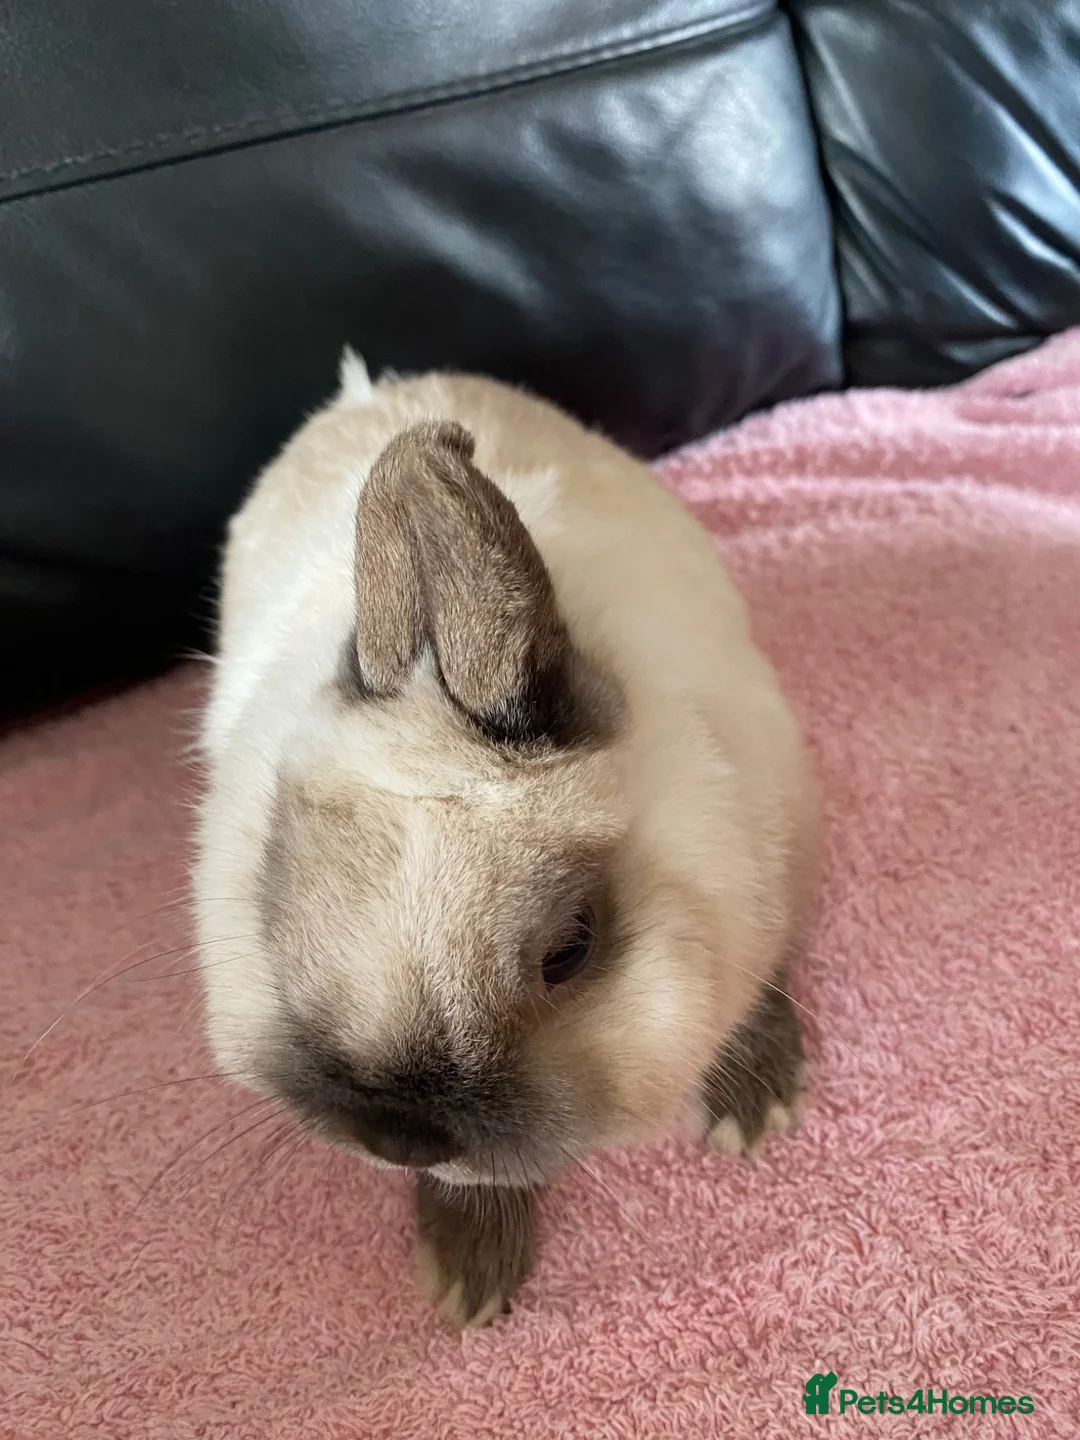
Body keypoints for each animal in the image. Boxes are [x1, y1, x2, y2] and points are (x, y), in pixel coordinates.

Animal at [193, 349, 818, 1326]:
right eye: (270, 900)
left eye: (570, 949)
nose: (402, 1136)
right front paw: (469, 1275)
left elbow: (759, 985)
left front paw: (757, 1107)